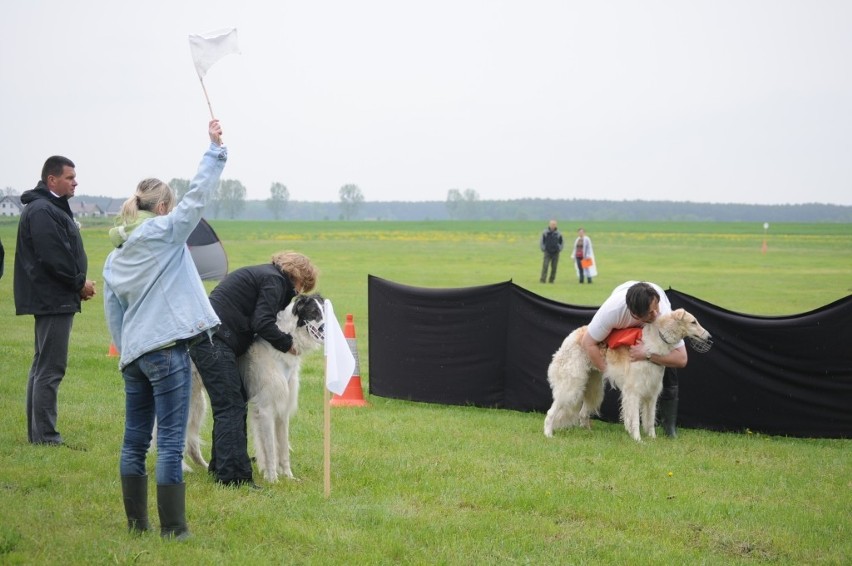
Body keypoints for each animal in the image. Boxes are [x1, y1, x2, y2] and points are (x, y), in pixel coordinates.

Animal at [544, 310, 712, 444]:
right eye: (693, 322)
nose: (709, 337)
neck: (653, 343)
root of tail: (573, 335)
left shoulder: (652, 394)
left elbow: (650, 420)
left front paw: (652, 439)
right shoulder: (633, 392)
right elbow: (635, 420)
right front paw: (638, 440)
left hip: (593, 387)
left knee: (582, 413)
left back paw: (588, 433)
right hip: (572, 386)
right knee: (550, 413)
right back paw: (548, 434)